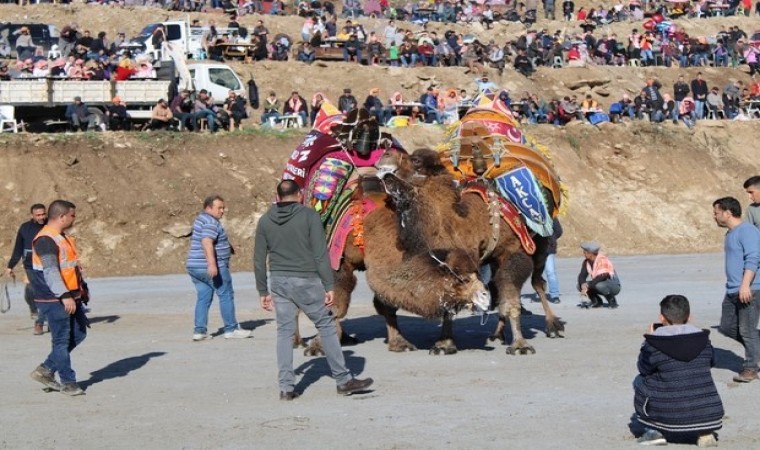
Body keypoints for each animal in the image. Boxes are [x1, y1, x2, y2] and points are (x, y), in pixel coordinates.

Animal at [378, 148, 564, 356]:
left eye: (416, 160)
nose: (385, 153)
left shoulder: (513, 253)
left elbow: (510, 295)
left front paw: (520, 345)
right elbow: (450, 302)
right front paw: (444, 344)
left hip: (542, 243)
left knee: (537, 282)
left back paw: (553, 326)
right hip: (494, 260)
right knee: (496, 286)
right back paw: (497, 334)